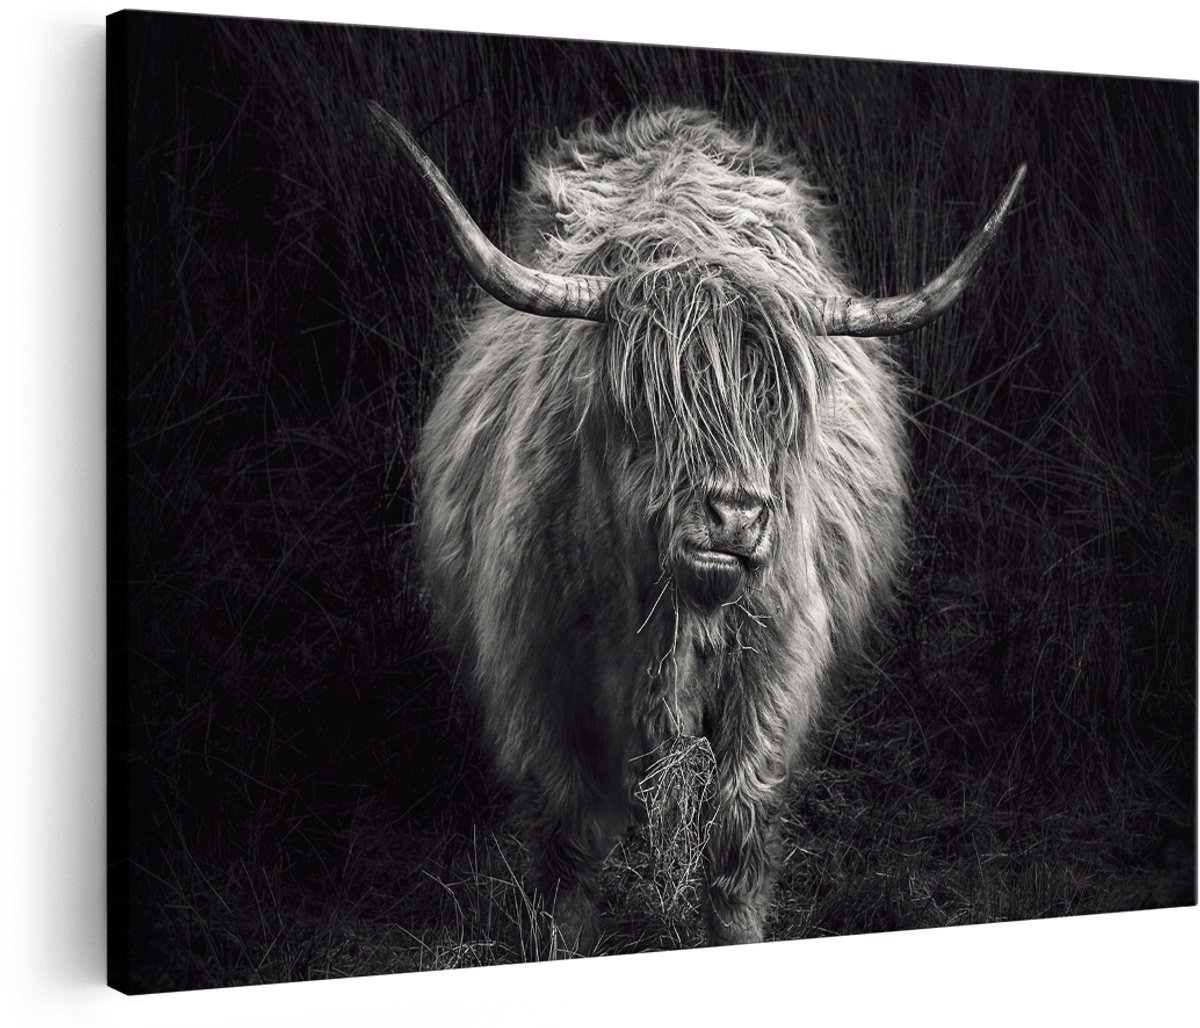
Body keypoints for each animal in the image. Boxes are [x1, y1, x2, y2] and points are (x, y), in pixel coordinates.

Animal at [369, 101, 1024, 952]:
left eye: (778, 409)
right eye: (651, 407)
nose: (737, 514)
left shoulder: (776, 668)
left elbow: (737, 834)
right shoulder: (540, 676)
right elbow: (569, 843)